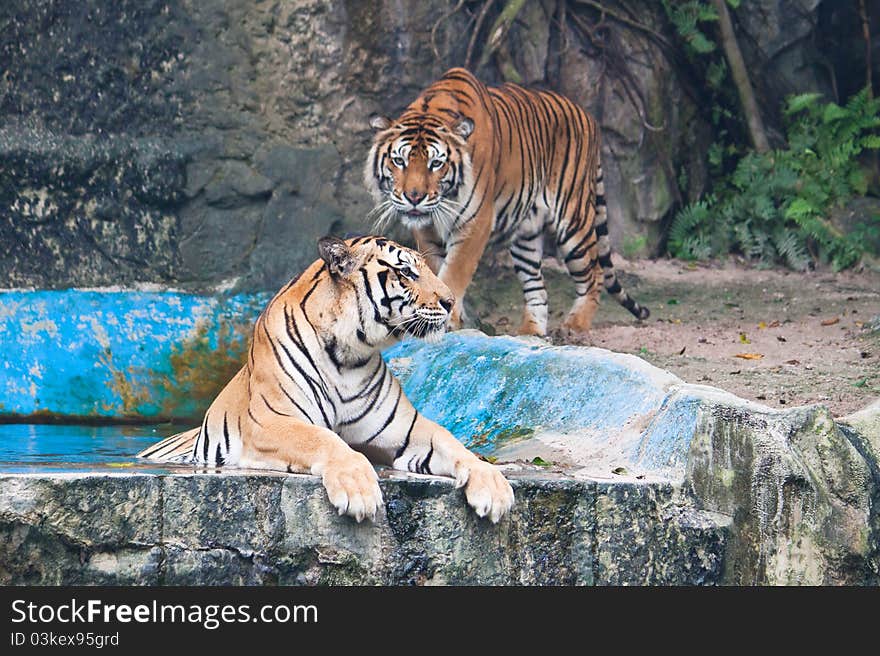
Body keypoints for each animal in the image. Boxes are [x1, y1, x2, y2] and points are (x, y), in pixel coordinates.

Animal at [138, 236, 516, 524]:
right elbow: (324, 439)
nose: (450, 303)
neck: (350, 354)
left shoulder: (406, 430)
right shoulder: (272, 421)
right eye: (406, 271)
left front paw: (494, 486)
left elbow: (453, 443)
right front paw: (358, 489)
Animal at [362, 67, 648, 336]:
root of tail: (589, 118)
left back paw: (574, 325)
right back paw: (530, 332)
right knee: (538, 288)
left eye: (436, 163)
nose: (414, 197)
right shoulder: (426, 230)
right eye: (399, 161)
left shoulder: (476, 222)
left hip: (573, 223)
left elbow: (454, 272)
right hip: (526, 237)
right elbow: (434, 271)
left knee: (595, 275)